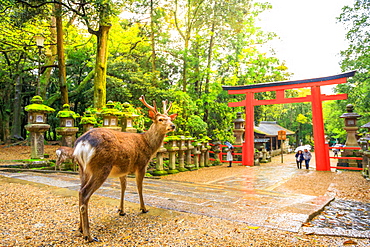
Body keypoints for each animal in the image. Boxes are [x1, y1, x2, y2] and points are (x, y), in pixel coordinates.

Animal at [73, 95, 177, 242]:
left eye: (170, 118)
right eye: (160, 119)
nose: (173, 126)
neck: (148, 145)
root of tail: (82, 143)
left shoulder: (123, 169)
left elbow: (123, 188)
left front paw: (121, 210)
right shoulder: (141, 164)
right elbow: (139, 187)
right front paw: (143, 208)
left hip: (82, 169)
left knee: (79, 191)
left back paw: (80, 229)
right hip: (101, 167)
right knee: (84, 193)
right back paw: (89, 235)